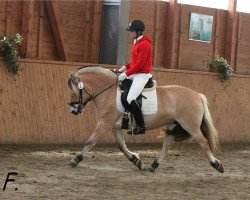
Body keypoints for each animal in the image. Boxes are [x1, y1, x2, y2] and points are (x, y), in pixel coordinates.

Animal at [67, 66, 225, 173]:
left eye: (74, 91)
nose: (73, 110)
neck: (108, 91)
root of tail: (197, 95)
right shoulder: (115, 126)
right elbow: (121, 145)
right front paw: (137, 161)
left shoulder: (105, 123)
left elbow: (90, 141)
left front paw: (75, 160)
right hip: (173, 124)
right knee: (167, 144)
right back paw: (152, 165)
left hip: (190, 125)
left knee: (204, 142)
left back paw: (217, 165)